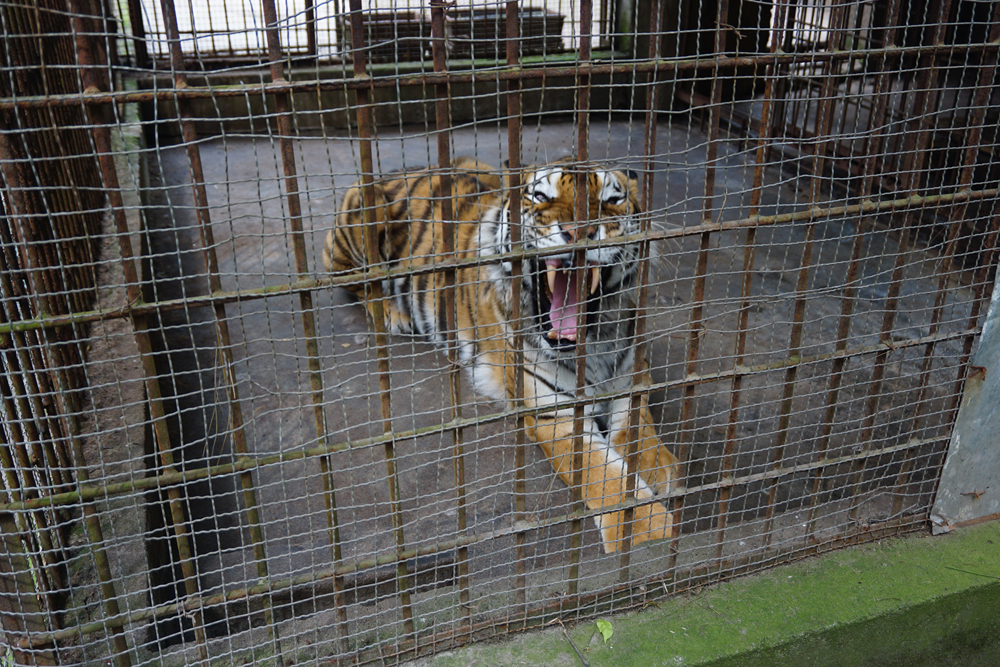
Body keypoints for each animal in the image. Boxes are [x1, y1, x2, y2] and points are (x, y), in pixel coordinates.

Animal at [323, 157, 677, 553]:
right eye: (540, 196)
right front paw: (645, 533)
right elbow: (603, 473)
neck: (595, 340)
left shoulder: (634, 376)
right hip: (355, 227)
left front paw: (659, 468)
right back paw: (394, 314)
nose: (578, 232)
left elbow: (637, 429)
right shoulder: (552, 411)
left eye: (611, 200)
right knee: (356, 283)